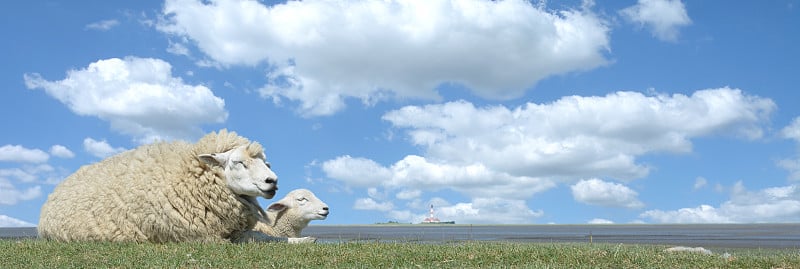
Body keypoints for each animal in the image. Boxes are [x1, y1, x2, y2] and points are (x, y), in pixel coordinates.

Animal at [39, 128, 312, 243]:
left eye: (266, 163)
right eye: (238, 162)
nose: (272, 181)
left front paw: (302, 240)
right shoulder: (204, 238)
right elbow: (260, 239)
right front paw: (301, 241)